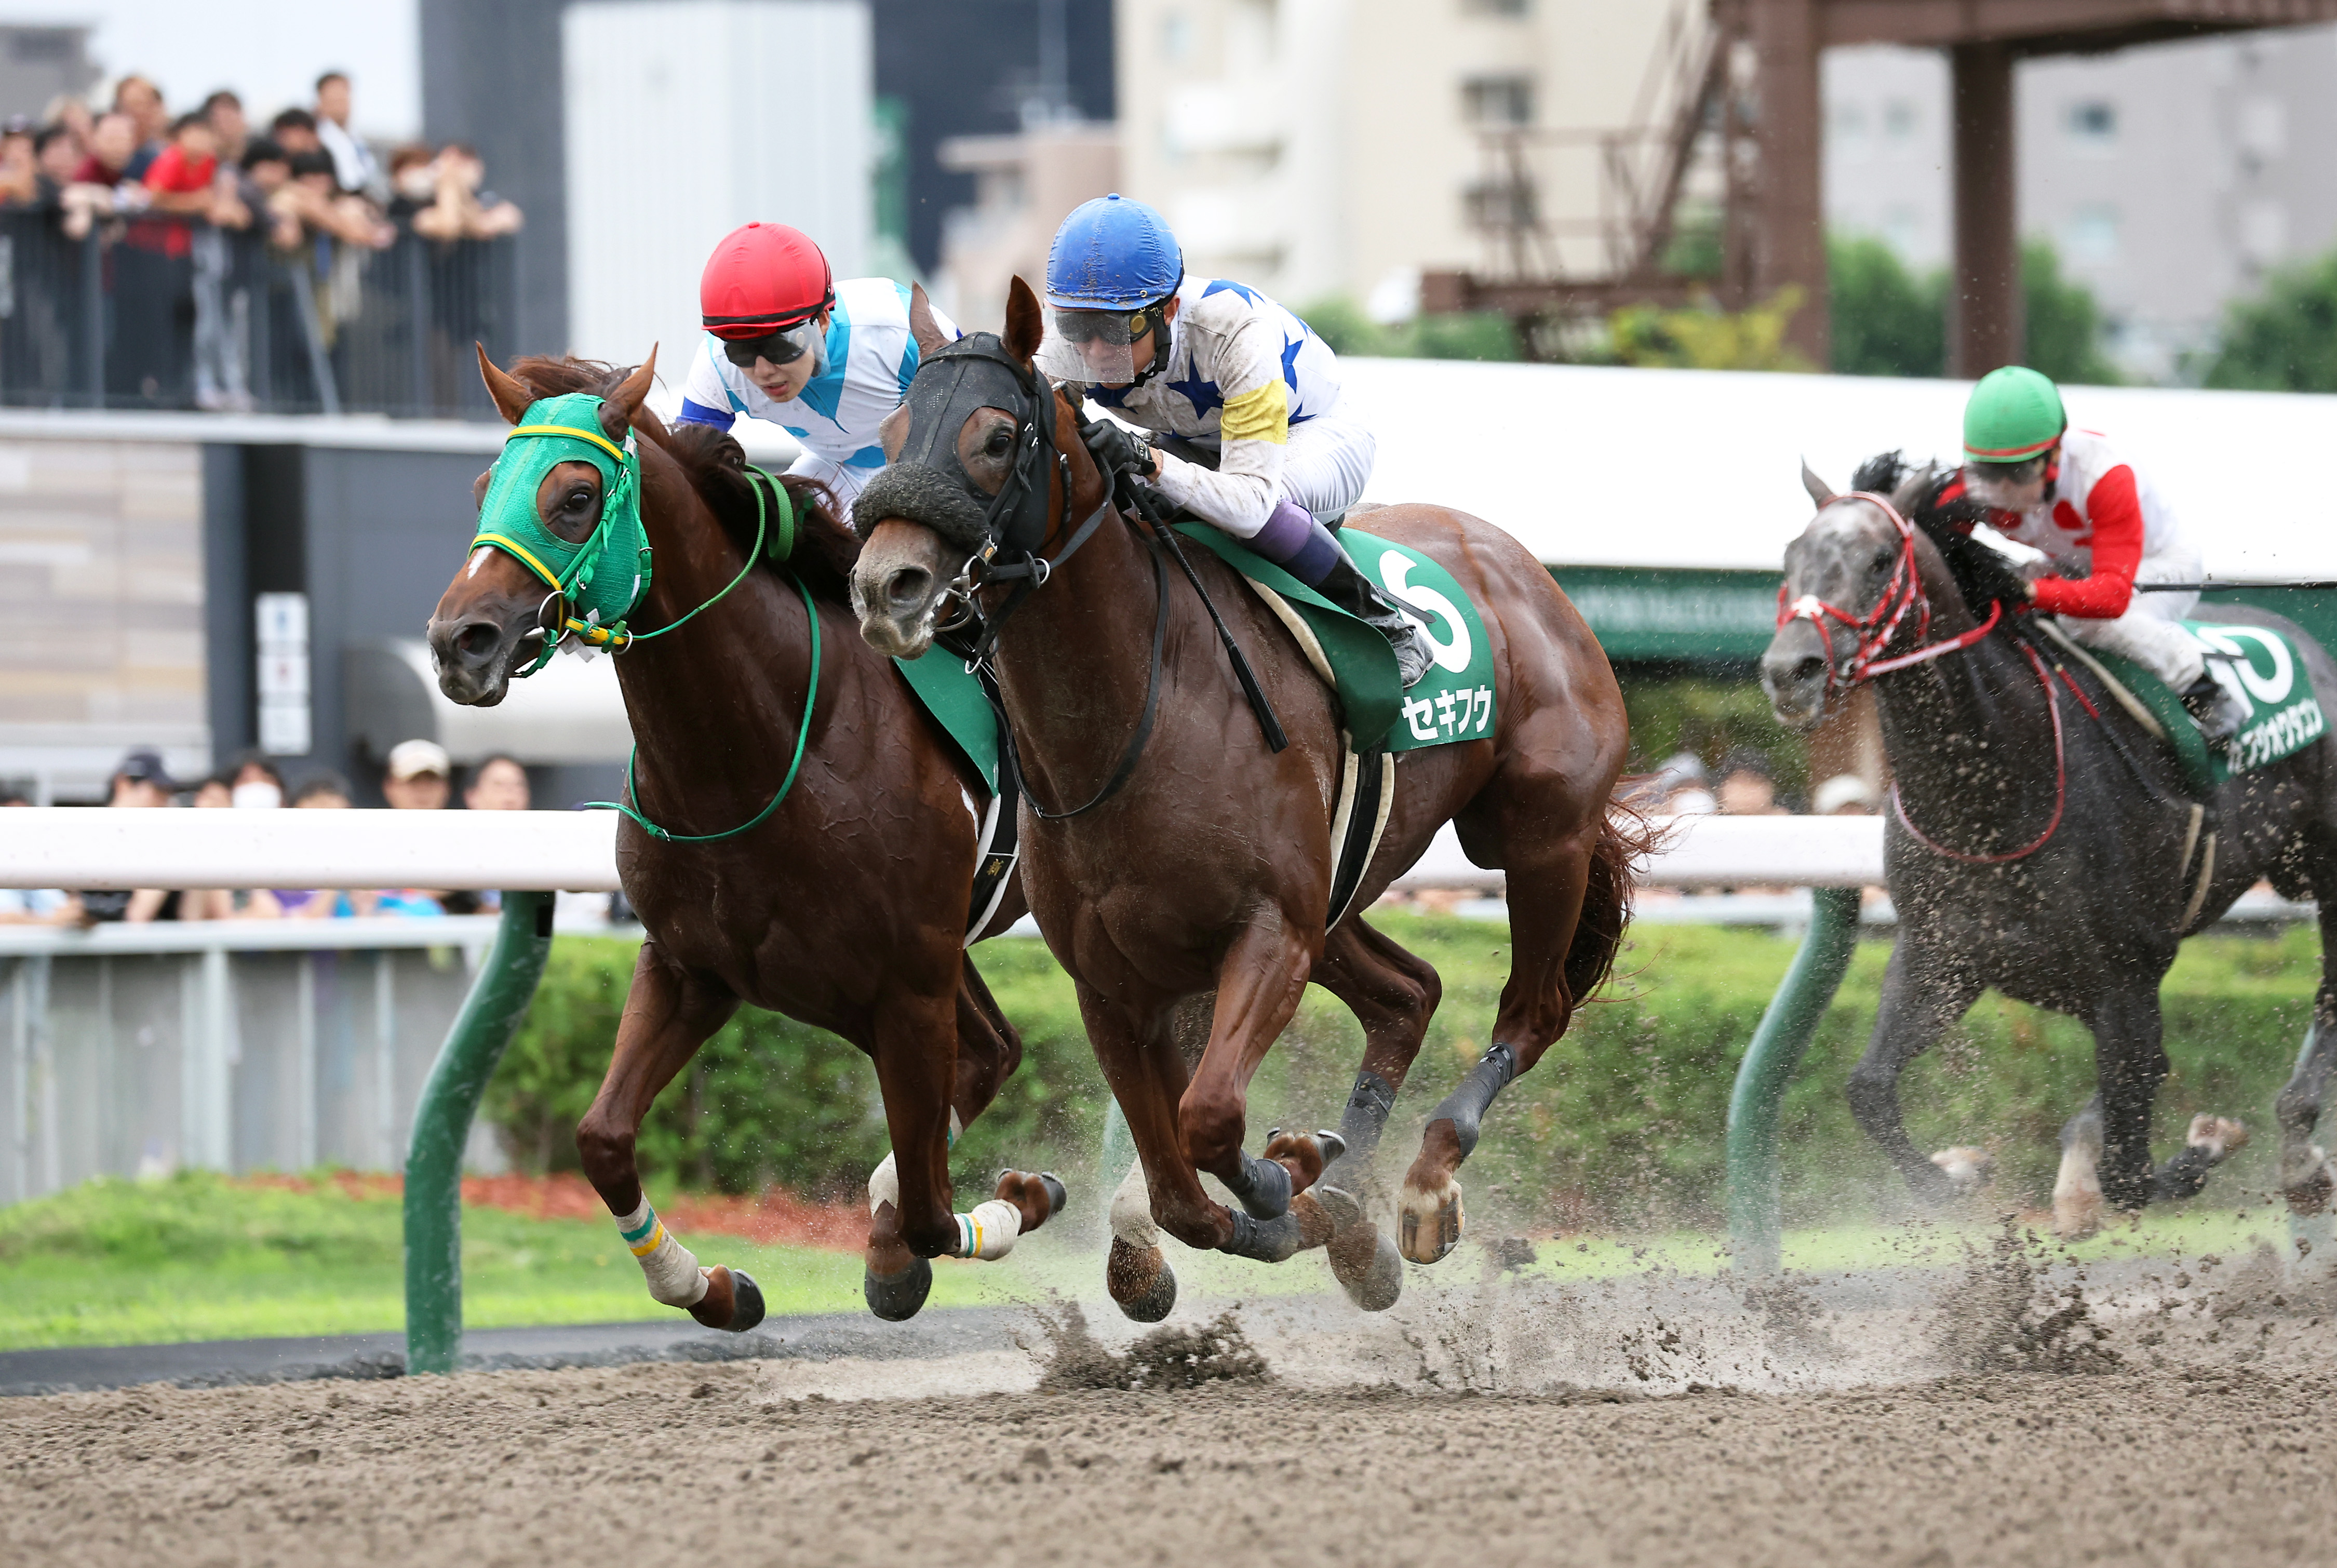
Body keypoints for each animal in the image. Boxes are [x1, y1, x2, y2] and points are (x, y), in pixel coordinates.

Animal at [432, 345, 1070, 1327]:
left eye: (575, 495)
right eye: (479, 488)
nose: (458, 641)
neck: (756, 754)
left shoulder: (904, 985)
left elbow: (933, 1208)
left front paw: (1014, 1199)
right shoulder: (693, 965)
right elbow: (601, 1135)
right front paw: (711, 1284)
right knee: (997, 1051)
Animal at [851, 283, 1636, 1308]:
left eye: (994, 436)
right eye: (893, 432)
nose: (884, 585)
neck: (1137, 714)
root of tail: (1530, 574)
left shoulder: (1268, 932)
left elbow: (1213, 1116)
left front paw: (1287, 1177)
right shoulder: (1114, 980)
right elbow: (1181, 1188)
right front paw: (1297, 1201)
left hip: (1539, 835)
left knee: (1533, 1008)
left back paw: (1424, 1183)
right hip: (1343, 891)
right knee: (1410, 993)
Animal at [1757, 458, 2337, 1243]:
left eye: (1879, 560)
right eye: (1791, 556)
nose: (1791, 669)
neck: (1994, 792)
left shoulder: (2125, 975)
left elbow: (2131, 1169)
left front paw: (2205, 1142)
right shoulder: (1942, 955)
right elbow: (1869, 1088)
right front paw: (1959, 1172)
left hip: (2324, 868)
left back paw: (2300, 1147)